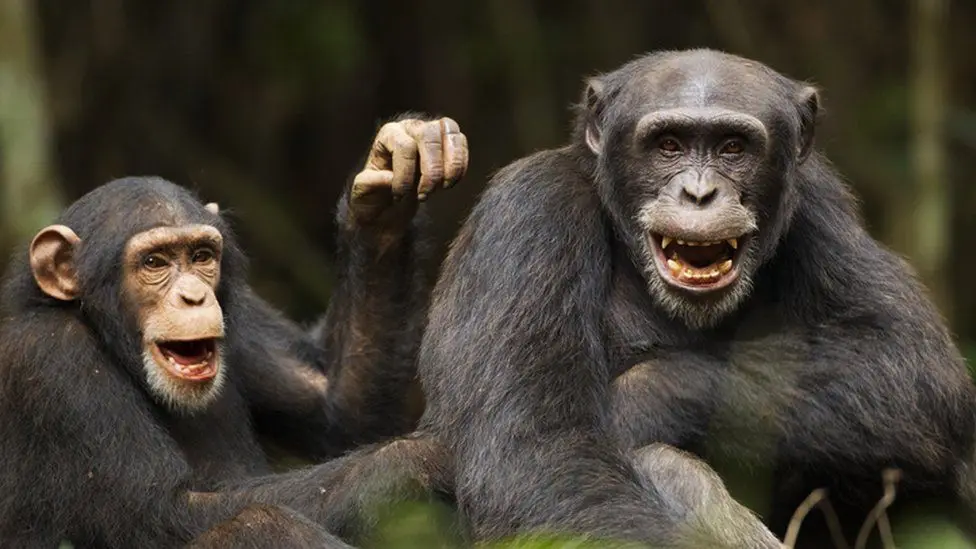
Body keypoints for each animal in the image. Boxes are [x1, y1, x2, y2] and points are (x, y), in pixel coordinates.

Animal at [0, 114, 468, 544]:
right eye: (154, 262)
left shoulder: (243, 316)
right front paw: (426, 456)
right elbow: (166, 511)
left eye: (202, 256)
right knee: (254, 523)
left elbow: (337, 408)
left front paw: (389, 178)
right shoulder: (50, 359)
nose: (194, 295)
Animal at [404, 49, 976, 544]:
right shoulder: (528, 213)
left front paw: (633, 402)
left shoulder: (821, 204)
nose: (699, 193)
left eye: (732, 147)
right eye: (669, 145)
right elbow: (539, 458)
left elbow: (908, 363)